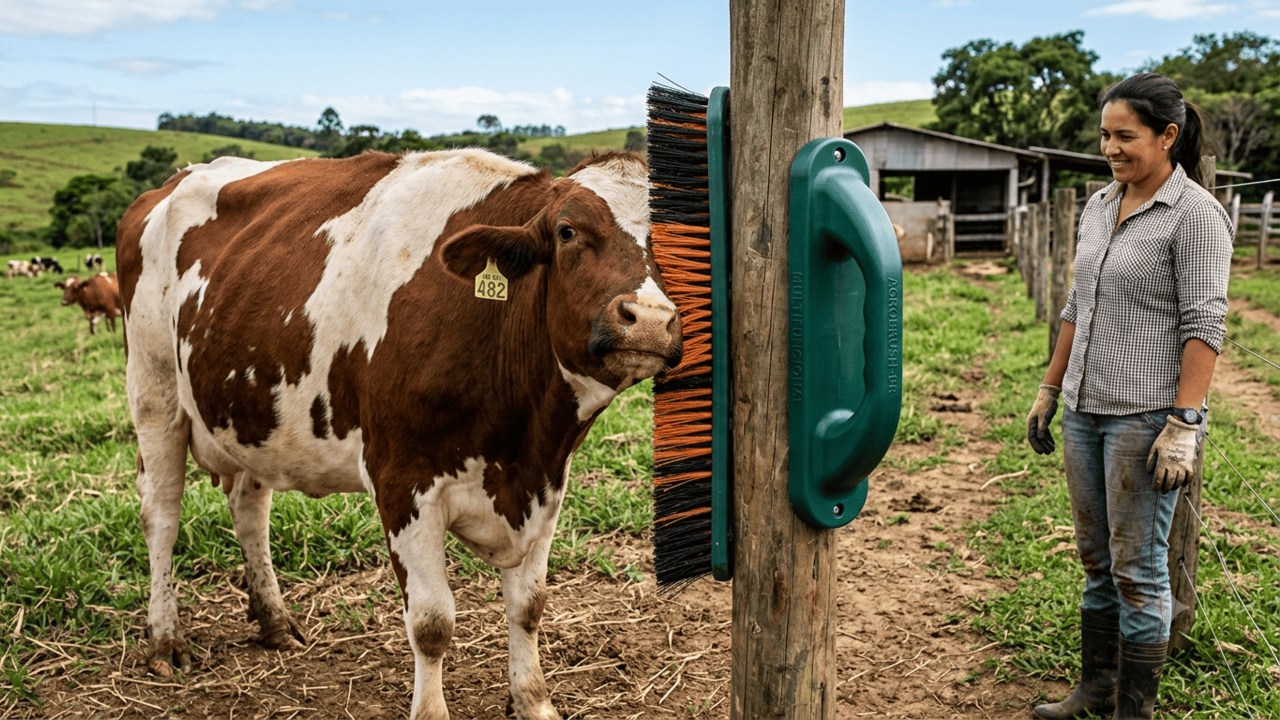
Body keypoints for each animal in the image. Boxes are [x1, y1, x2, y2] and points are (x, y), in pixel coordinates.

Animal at [116, 149, 682, 720]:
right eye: (567, 231)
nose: (650, 320)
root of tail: (178, 177)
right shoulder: (404, 483)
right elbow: (432, 624)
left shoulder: (546, 485)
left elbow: (529, 606)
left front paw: (534, 702)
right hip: (154, 390)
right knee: (160, 513)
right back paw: (165, 638)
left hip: (253, 412)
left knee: (250, 508)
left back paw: (273, 619)